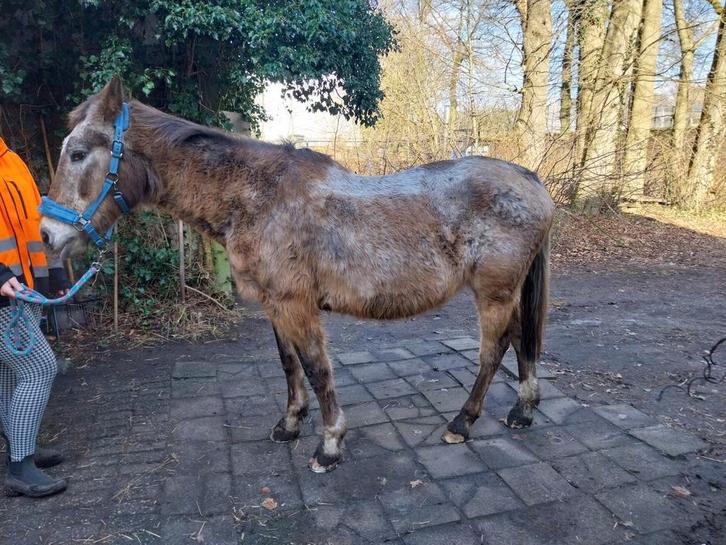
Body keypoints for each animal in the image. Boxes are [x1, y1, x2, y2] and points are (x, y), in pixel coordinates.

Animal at [40, 77, 554, 473]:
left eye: (79, 153)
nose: (48, 235)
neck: (260, 197)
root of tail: (530, 180)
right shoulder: (274, 304)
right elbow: (289, 364)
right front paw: (290, 424)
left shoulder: (295, 304)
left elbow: (316, 368)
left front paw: (329, 445)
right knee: (520, 340)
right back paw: (522, 411)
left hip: (493, 292)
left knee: (495, 350)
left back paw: (462, 423)